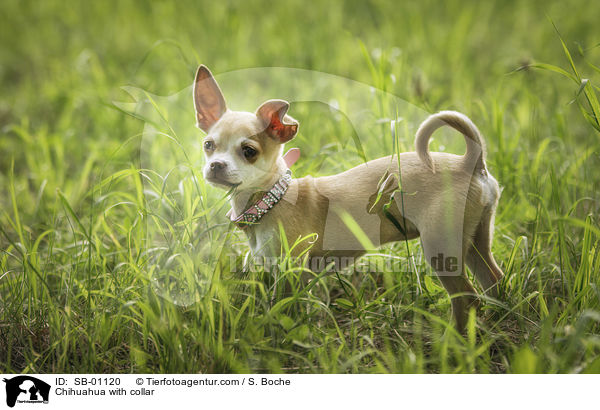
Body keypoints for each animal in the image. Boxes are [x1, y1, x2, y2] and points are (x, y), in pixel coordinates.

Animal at [195, 65, 504, 330]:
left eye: (249, 151)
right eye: (208, 145)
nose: (216, 165)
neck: (272, 198)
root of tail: (470, 163)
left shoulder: (291, 270)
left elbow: (284, 309)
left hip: (441, 248)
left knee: (467, 299)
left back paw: (453, 341)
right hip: (475, 241)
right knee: (494, 281)